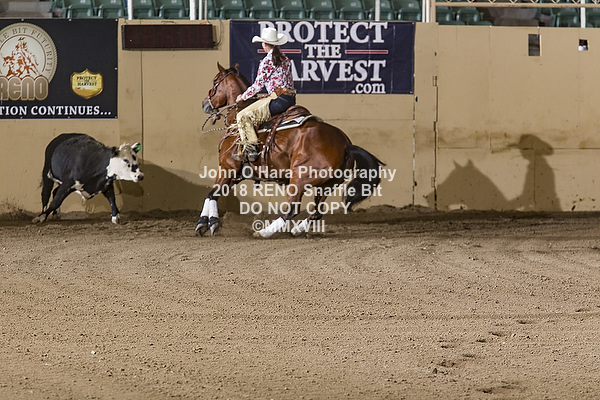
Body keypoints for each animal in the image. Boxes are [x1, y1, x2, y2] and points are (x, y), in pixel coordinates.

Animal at [195, 62, 385, 238]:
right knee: (316, 212)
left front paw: (209, 223)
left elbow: (211, 194)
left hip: (299, 178)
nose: (204, 103)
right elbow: (212, 195)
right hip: (327, 185)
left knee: (293, 210)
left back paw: (263, 232)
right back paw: (296, 230)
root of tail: (345, 144)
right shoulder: (237, 174)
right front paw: (205, 223)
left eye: (215, 82)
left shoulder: (228, 168)